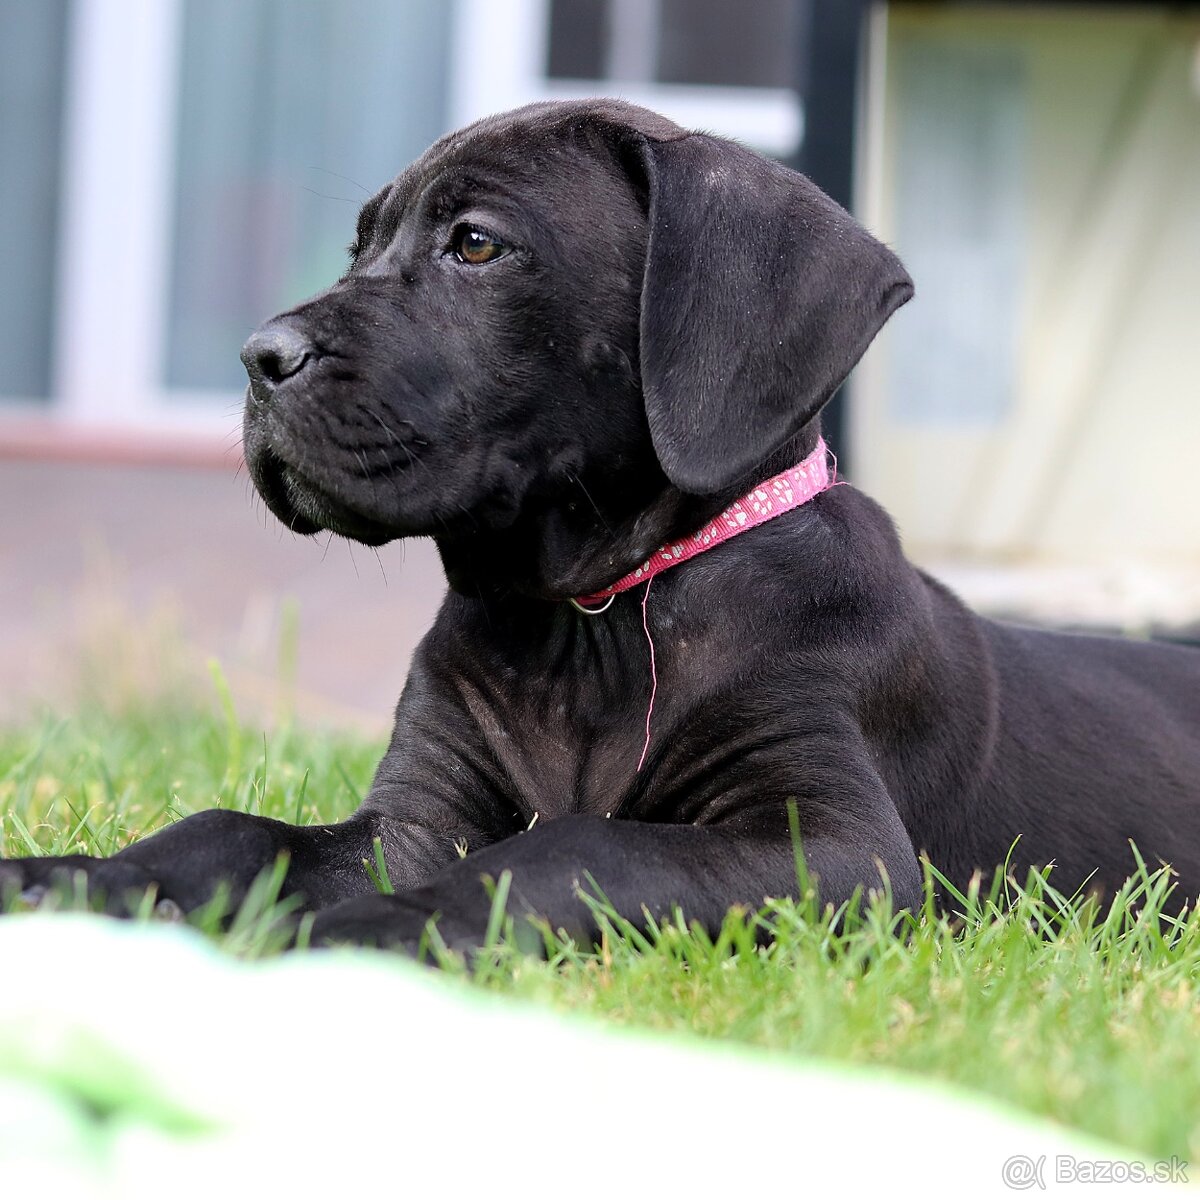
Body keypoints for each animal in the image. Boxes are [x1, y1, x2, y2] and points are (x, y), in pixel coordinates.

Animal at [2, 100, 1200, 945]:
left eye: (476, 244)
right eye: (356, 250)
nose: (258, 358)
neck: (588, 624)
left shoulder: (837, 849)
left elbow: (579, 848)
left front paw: (368, 924)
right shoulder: (416, 816)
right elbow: (233, 830)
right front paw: (79, 878)